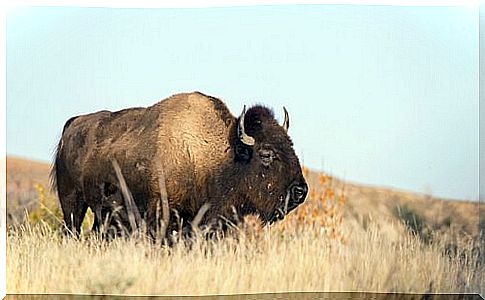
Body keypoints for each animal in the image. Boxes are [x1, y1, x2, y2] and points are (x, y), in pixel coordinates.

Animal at [50, 91, 306, 237]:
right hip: (72, 202)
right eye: (266, 153)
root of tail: (72, 124)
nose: (300, 191)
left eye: (290, 145)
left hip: (101, 213)